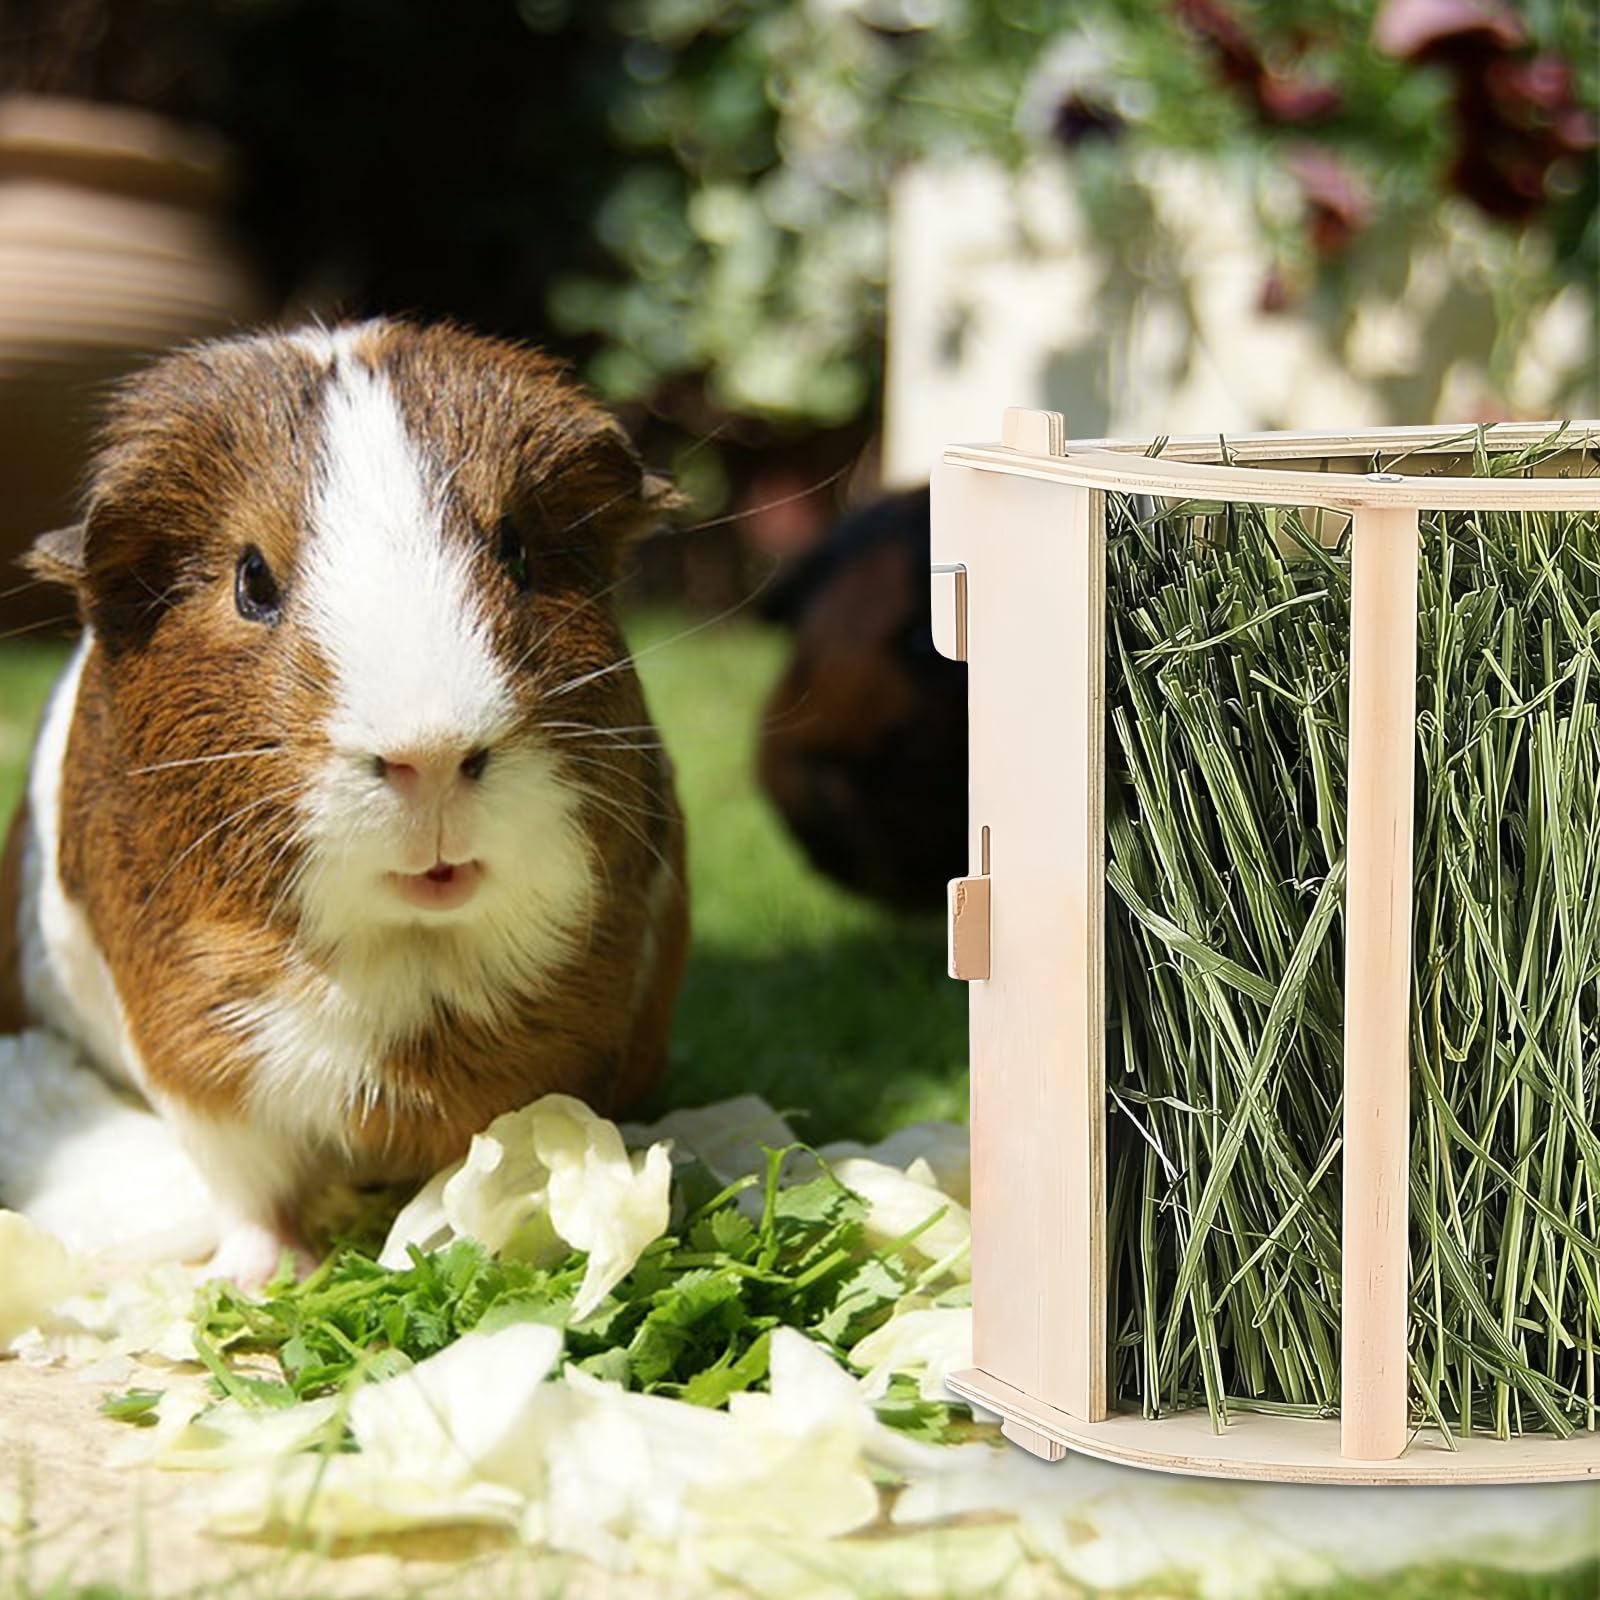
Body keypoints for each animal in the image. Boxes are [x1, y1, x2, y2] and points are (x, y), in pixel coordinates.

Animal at [0, 319, 688, 1282]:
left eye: (516, 553)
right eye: (252, 581)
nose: (429, 753)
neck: (412, 971)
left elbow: (484, 1155)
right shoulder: (201, 1054)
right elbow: (248, 1187)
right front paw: (267, 1281)